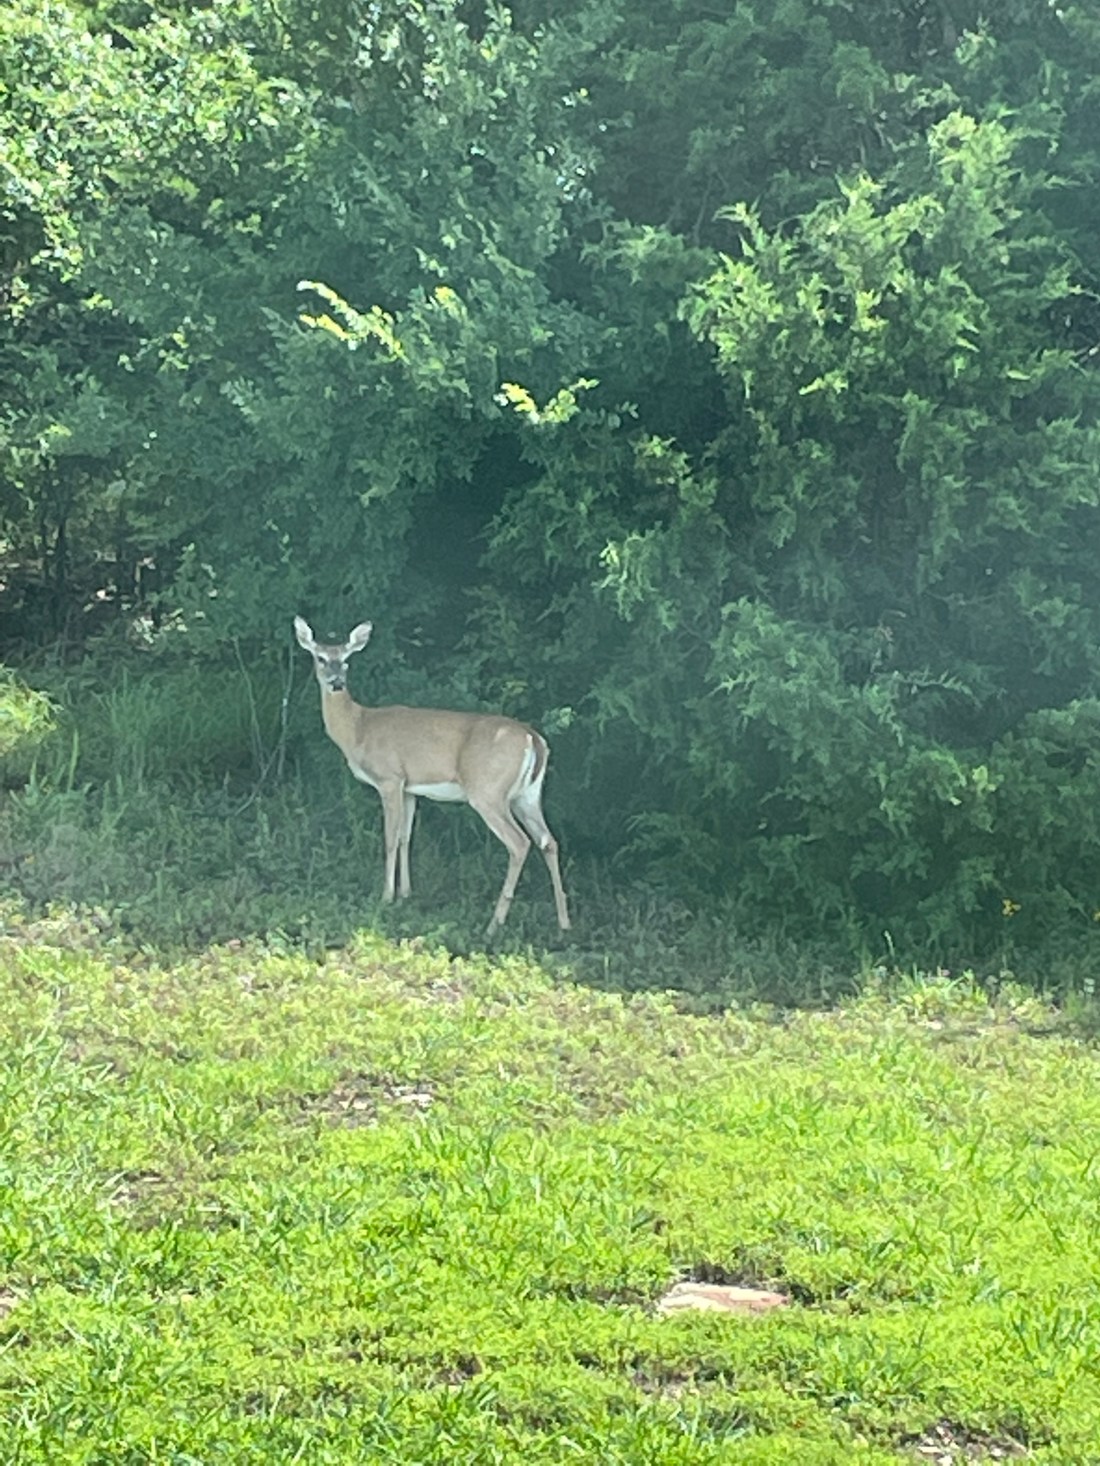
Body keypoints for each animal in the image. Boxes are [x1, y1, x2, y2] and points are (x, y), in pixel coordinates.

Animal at [294, 617, 571, 935]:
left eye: (347, 660)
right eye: (320, 658)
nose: (336, 682)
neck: (358, 728)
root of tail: (532, 738)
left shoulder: (389, 778)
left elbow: (390, 837)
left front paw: (386, 897)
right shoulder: (409, 788)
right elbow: (406, 837)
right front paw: (406, 894)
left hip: (488, 791)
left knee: (519, 843)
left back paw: (494, 924)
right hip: (528, 795)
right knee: (548, 841)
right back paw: (564, 923)